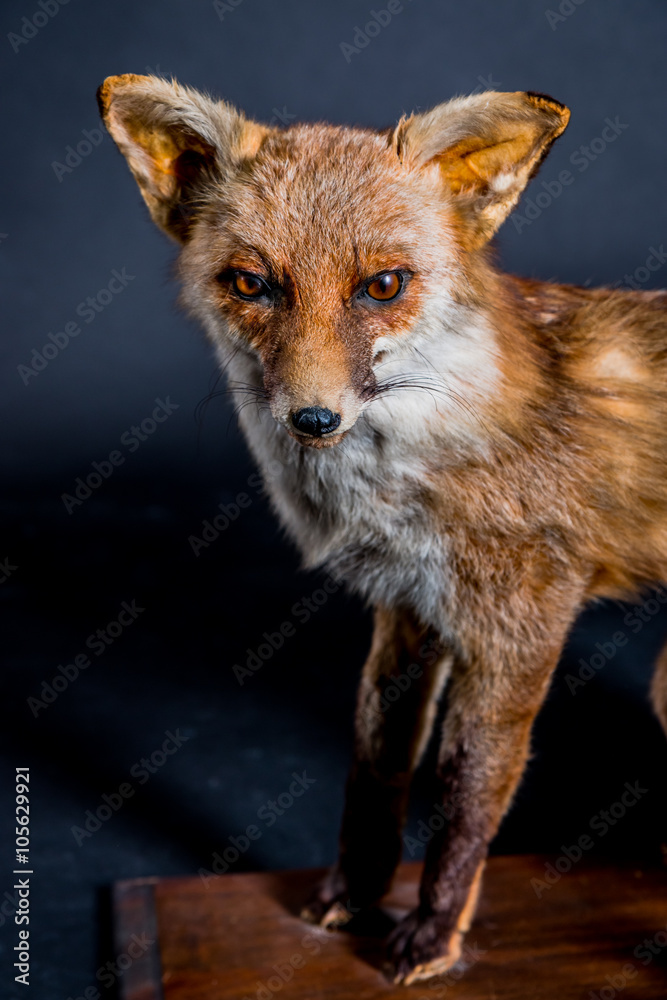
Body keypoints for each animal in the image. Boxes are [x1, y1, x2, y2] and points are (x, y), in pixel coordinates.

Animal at [97, 74, 667, 984]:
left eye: (384, 286)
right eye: (251, 285)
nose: (312, 419)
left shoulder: (518, 630)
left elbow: (465, 797)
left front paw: (432, 935)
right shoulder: (406, 611)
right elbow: (375, 767)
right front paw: (352, 897)